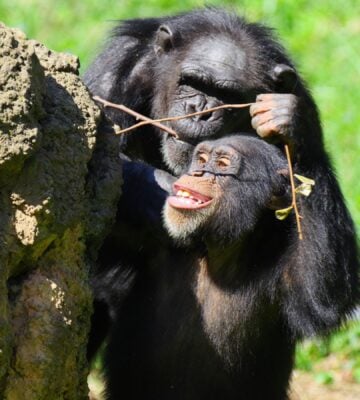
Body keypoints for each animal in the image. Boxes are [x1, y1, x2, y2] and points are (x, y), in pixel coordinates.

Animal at [100, 135, 358, 400]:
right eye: (201, 159)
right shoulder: (144, 234)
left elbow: (323, 298)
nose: (198, 172)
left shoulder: (287, 271)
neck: (216, 250)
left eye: (222, 164)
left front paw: (300, 136)